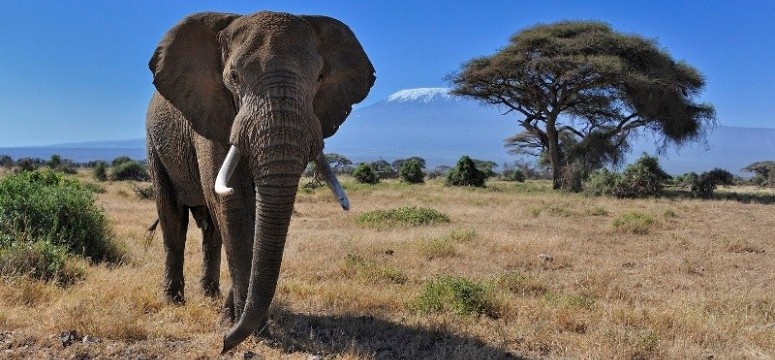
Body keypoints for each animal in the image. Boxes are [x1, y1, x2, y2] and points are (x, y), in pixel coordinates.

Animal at [147, 10, 378, 352]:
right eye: (234, 77)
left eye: (319, 78)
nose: (223, 344)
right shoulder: (211, 111)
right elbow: (234, 203)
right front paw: (245, 329)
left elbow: (253, 215)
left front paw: (239, 323)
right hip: (154, 144)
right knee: (172, 217)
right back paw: (174, 302)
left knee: (211, 229)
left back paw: (210, 297)